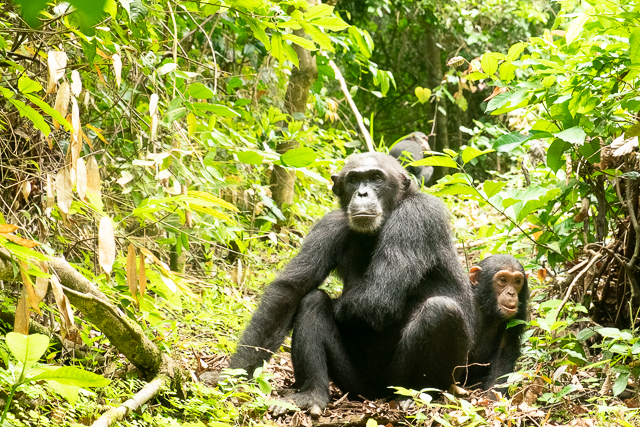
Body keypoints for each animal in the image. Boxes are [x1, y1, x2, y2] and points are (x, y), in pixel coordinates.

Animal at [230, 152, 476, 416]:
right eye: (354, 180)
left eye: (377, 178)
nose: (363, 193)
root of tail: (377, 395)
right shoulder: (328, 226)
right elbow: (289, 292)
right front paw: (233, 373)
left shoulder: (416, 217)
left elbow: (377, 297)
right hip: (356, 385)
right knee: (313, 301)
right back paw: (312, 393)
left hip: (412, 378)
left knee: (440, 310)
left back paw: (418, 394)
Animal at [464, 254, 528, 394]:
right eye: (503, 280)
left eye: (517, 281)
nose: (511, 293)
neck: (487, 306)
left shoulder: (519, 313)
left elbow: (504, 352)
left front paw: (494, 396)